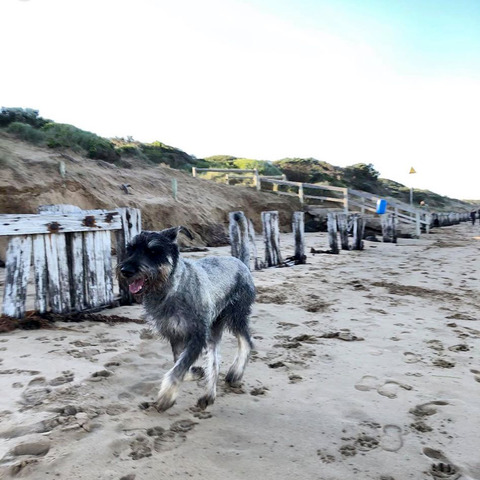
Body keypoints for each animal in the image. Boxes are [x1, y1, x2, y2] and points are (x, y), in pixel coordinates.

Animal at [117, 227, 255, 410]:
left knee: (246, 341)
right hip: (214, 328)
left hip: (235, 316)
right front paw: (193, 374)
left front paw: (166, 396)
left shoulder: (197, 336)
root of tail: (241, 263)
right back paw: (209, 395)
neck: (171, 289)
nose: (126, 270)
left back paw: (235, 372)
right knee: (215, 360)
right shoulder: (175, 333)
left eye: (153, 251)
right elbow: (178, 360)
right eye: (130, 249)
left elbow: (179, 366)